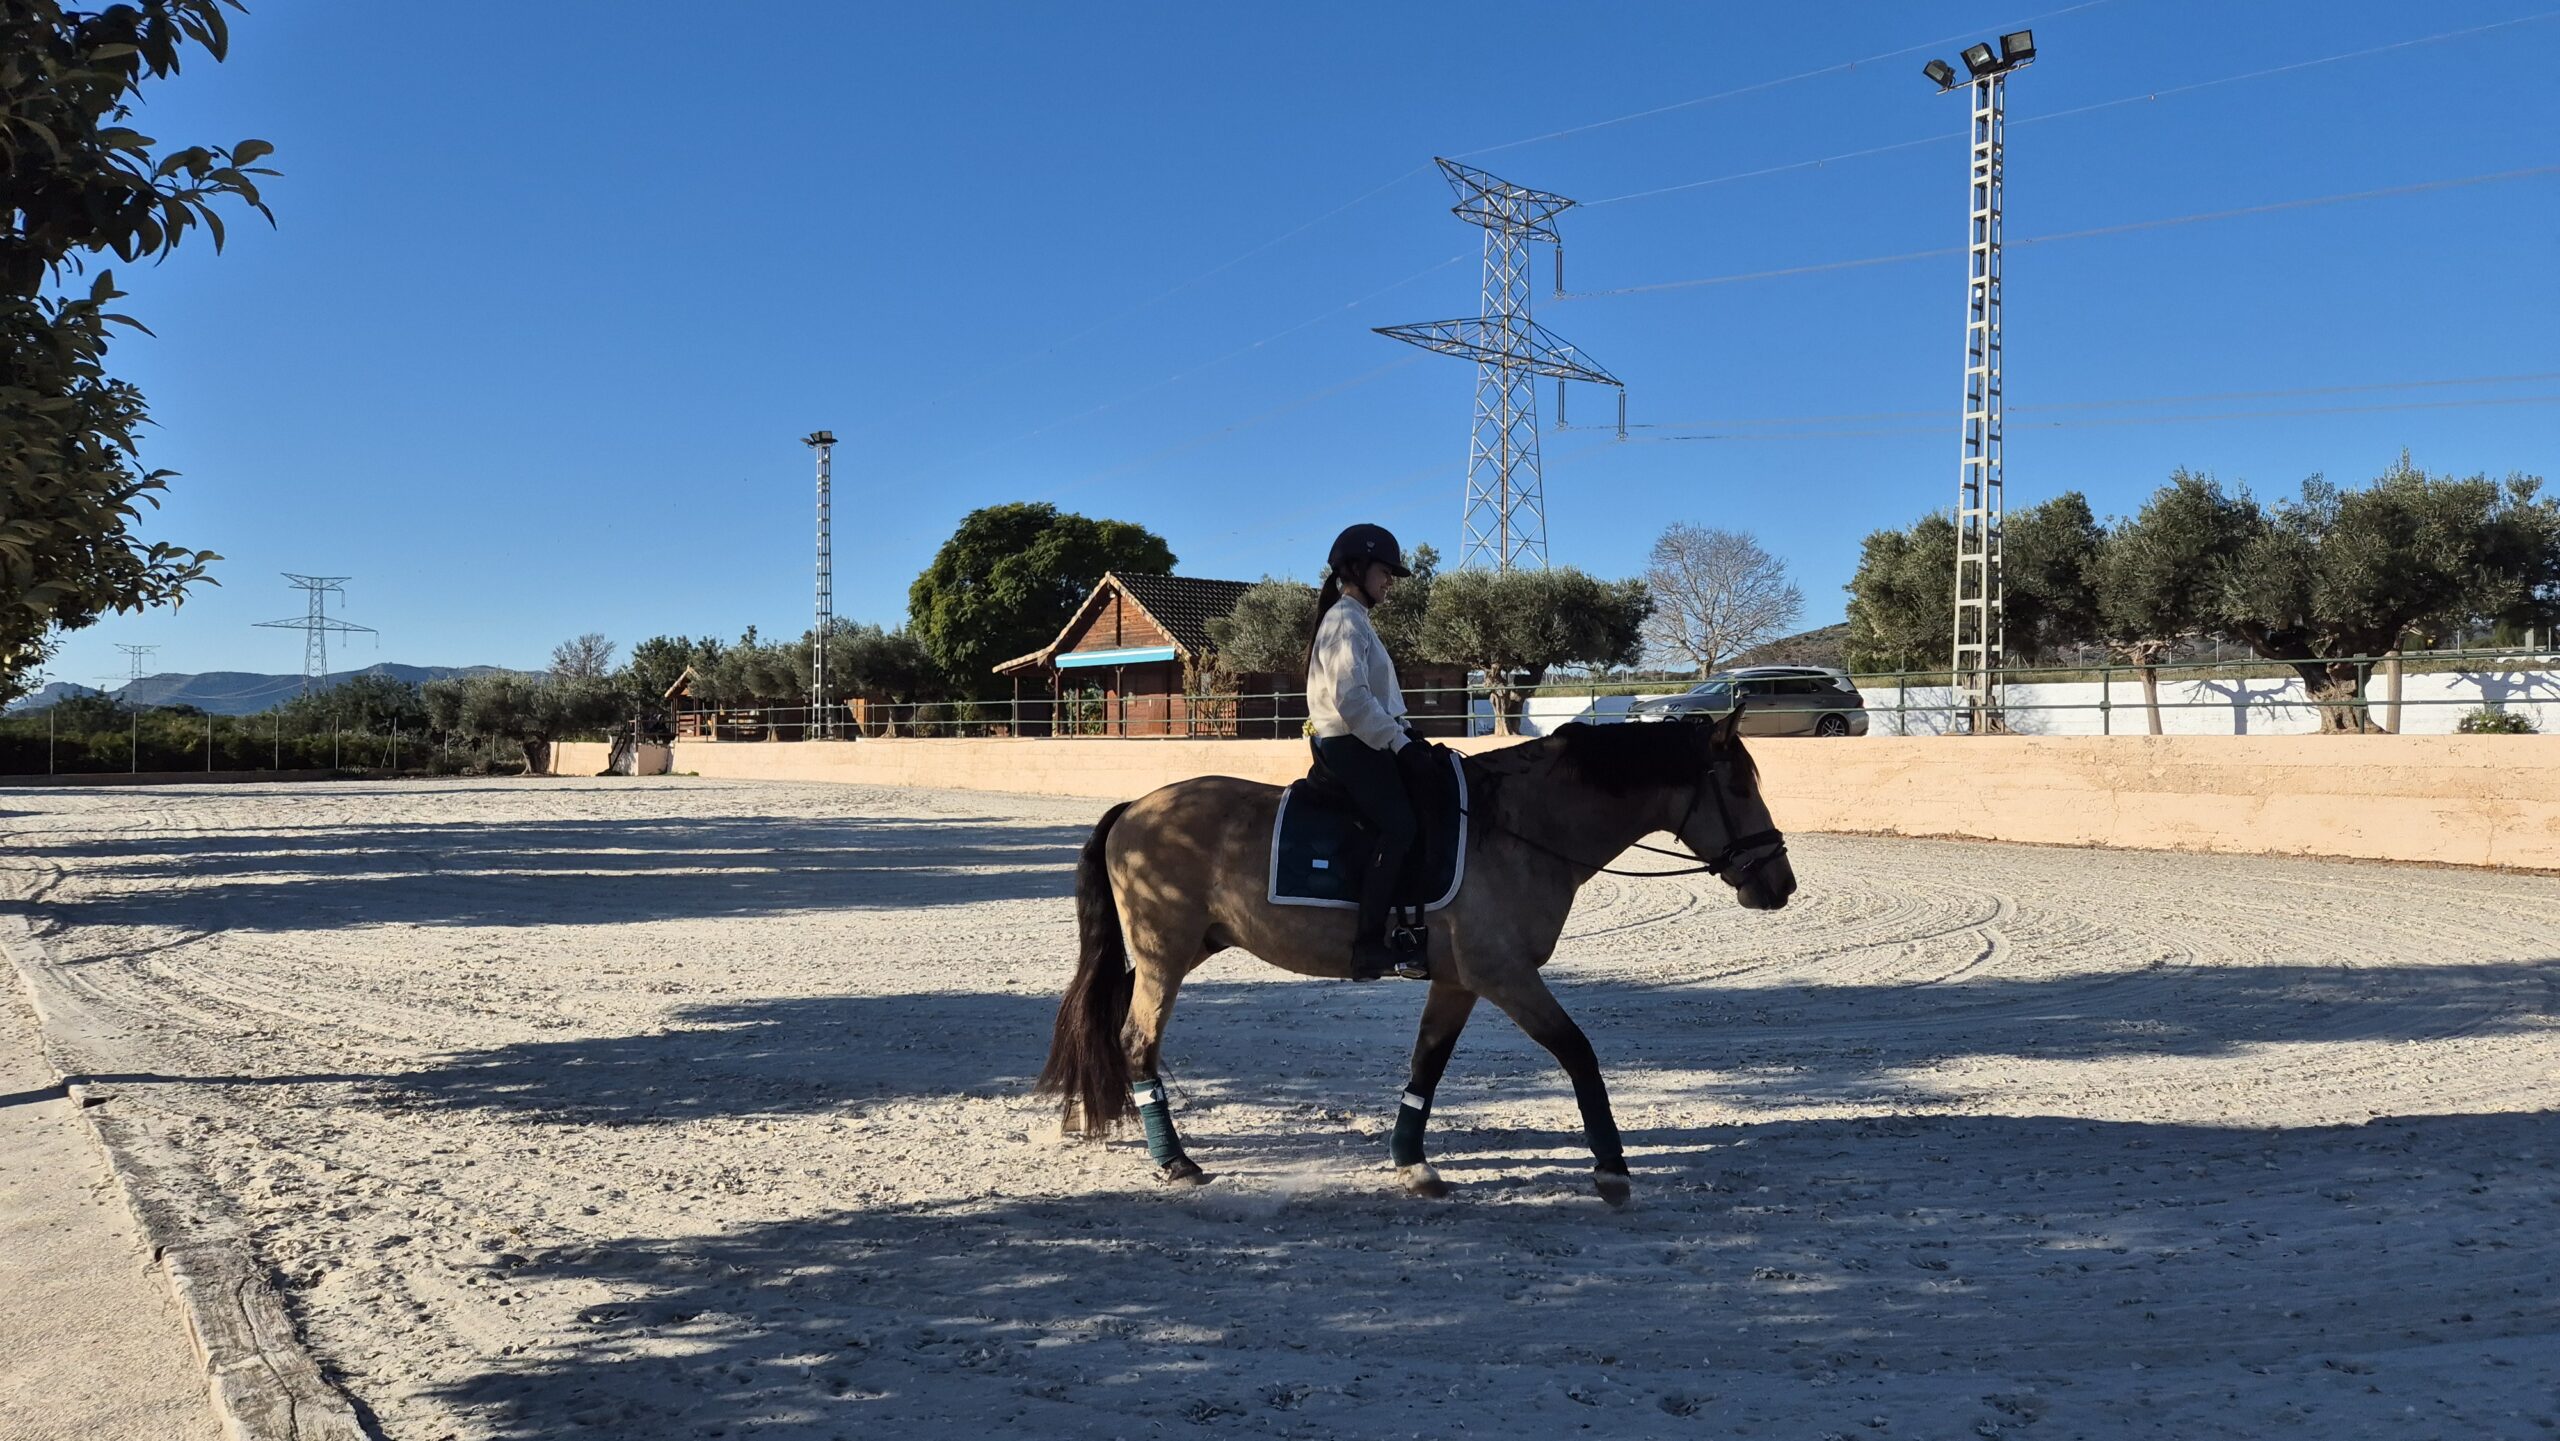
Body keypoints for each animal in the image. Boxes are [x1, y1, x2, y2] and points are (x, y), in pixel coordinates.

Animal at [1037, 713, 1794, 1205]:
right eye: (1740, 788)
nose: (1781, 883)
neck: (1516, 825)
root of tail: (1138, 806)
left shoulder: (1460, 980)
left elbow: (1425, 1065)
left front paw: (1413, 1165)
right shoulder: (1504, 974)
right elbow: (1578, 1051)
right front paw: (1611, 1168)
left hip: (1178, 952)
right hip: (1164, 958)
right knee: (1138, 1042)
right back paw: (1177, 1162)